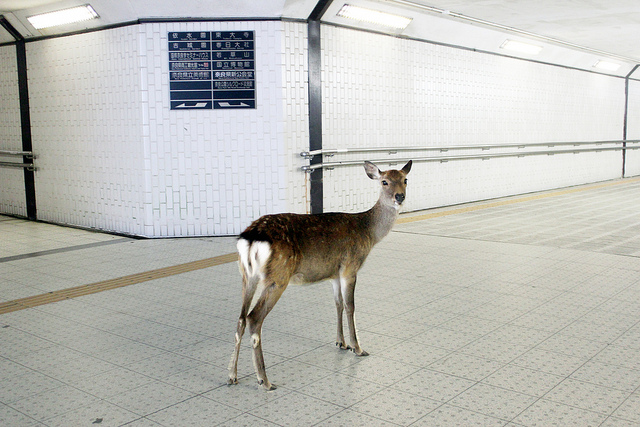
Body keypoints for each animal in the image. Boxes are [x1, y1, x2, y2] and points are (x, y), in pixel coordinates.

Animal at [228, 160, 412, 392]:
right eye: (385, 181)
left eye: (405, 179)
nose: (400, 197)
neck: (368, 233)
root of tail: (251, 238)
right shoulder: (350, 267)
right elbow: (350, 306)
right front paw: (358, 348)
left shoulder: (334, 273)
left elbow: (338, 304)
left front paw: (340, 343)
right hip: (277, 277)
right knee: (254, 318)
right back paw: (264, 380)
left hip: (247, 276)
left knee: (241, 319)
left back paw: (232, 375)